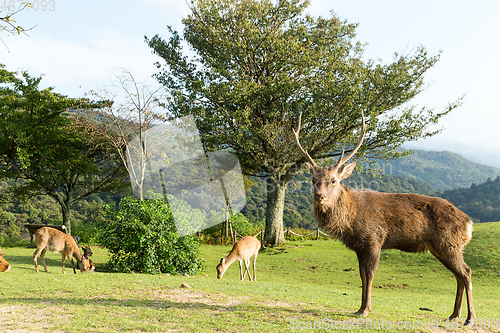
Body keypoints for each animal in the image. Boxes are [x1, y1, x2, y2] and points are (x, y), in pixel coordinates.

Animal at [292, 111, 476, 324]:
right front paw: (359, 308)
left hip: (449, 243)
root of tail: (469, 223)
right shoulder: (359, 246)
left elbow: (370, 274)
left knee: (466, 272)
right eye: (313, 179)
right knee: (458, 275)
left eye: (333, 180)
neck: (351, 221)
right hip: (441, 247)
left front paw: (365, 309)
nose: (319, 196)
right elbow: (362, 276)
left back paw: (470, 318)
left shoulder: (374, 239)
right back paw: (453, 315)